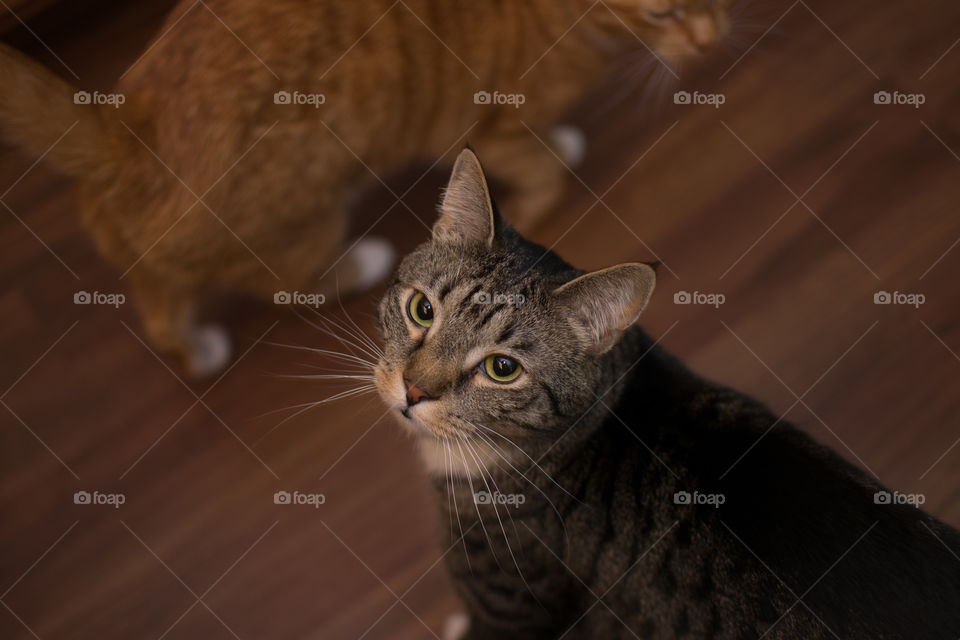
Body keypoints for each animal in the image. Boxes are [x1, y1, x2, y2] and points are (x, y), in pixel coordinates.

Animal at [0, 0, 728, 376]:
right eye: (663, 10)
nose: (713, 39)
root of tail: (126, 124)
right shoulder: (482, 132)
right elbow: (541, 170)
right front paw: (544, 178)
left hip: (153, 262)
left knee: (159, 308)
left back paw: (197, 350)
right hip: (311, 216)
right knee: (286, 280)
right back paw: (361, 260)